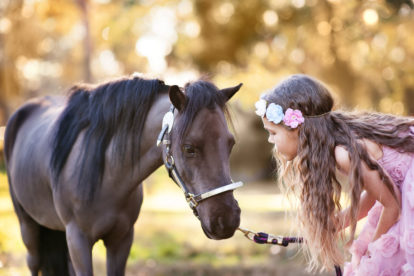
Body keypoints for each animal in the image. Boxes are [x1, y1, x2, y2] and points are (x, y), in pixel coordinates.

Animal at [4, 74, 243, 274]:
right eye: (189, 148)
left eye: (231, 144)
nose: (226, 219)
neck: (106, 177)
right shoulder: (78, 240)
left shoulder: (122, 240)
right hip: (28, 227)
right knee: (33, 262)